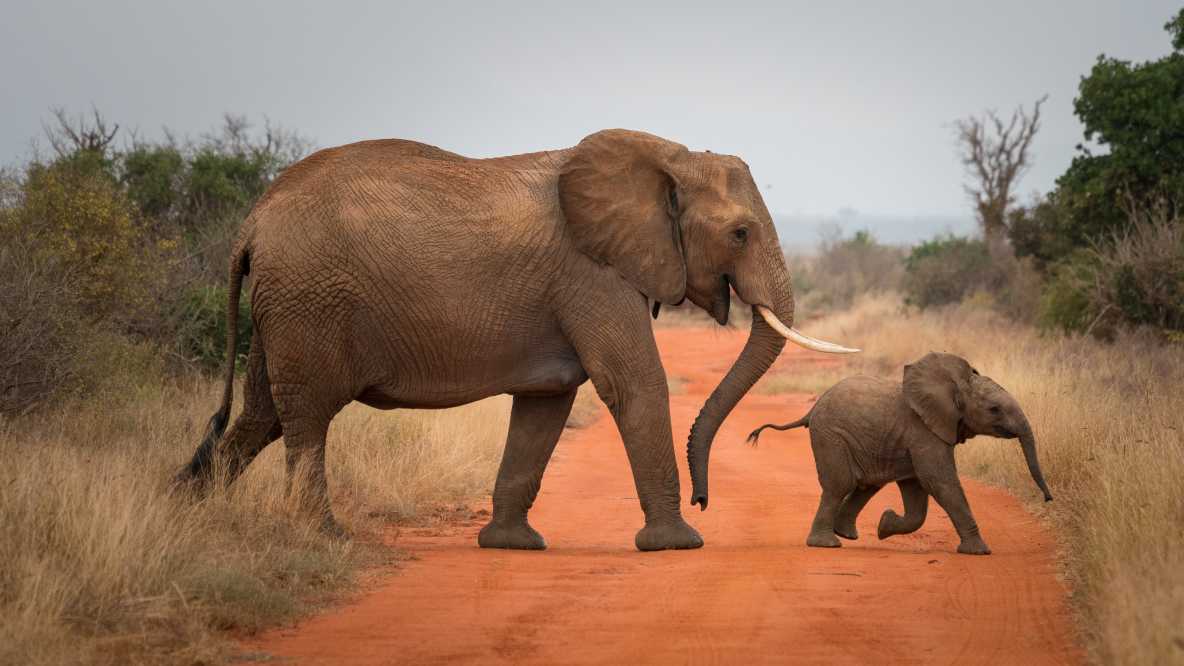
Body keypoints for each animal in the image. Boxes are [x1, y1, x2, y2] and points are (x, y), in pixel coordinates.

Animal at [175, 129, 857, 549]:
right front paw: (678, 545)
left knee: (262, 414)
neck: (668, 154)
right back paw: (323, 536)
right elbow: (633, 384)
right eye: (741, 234)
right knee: (307, 417)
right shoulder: (591, 274)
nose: (706, 498)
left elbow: (546, 403)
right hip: (307, 301)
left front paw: (512, 545)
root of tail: (253, 222)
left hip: (284, 307)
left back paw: (186, 512)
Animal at [748, 350, 1056, 552]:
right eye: (994, 409)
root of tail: (812, 409)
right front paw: (980, 552)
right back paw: (828, 544)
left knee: (865, 485)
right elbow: (939, 481)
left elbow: (918, 493)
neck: (953, 386)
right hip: (831, 435)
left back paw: (847, 535)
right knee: (840, 485)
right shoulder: (924, 431)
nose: (1048, 498)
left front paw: (885, 525)